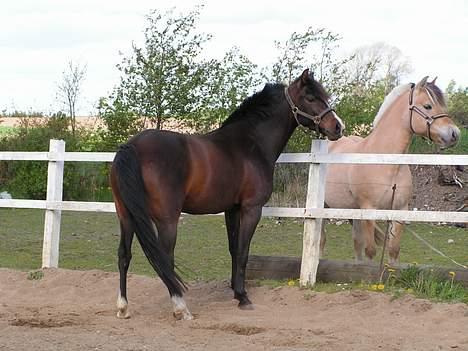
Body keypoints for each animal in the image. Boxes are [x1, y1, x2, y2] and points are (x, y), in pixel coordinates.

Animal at [109, 69, 344, 322]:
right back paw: (180, 308)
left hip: (126, 216)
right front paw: (244, 297)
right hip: (166, 219)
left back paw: (123, 307)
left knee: (124, 256)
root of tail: (132, 146)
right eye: (311, 98)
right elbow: (243, 251)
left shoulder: (231, 209)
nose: (337, 127)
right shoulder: (251, 209)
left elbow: (233, 249)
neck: (250, 144)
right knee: (165, 258)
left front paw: (235, 291)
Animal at [324, 77, 458, 264]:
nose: (454, 134)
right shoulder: (369, 210)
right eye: (428, 106)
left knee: (357, 243)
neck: (386, 164)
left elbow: (393, 250)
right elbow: (371, 251)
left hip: (354, 212)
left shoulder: (400, 210)